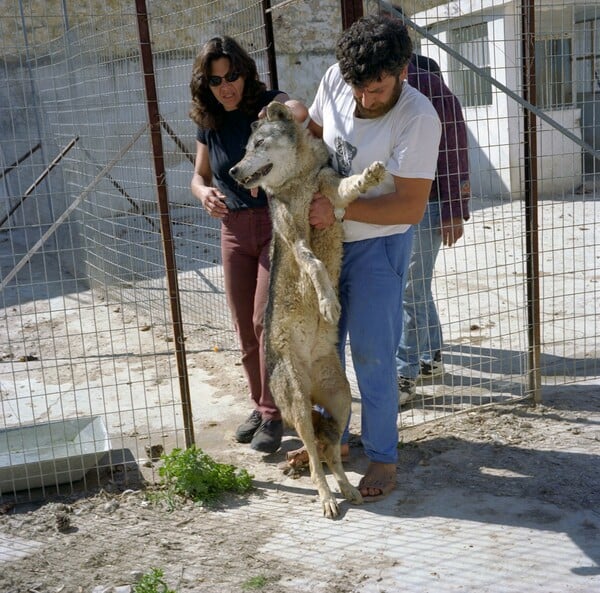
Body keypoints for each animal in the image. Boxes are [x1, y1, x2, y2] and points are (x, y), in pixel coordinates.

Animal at [227, 103, 386, 520]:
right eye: (245, 149)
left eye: (257, 145)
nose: (232, 171)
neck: (298, 181)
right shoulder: (294, 237)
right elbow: (314, 266)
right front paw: (329, 303)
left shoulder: (332, 196)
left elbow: (349, 186)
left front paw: (370, 175)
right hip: (299, 406)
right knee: (314, 456)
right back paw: (327, 498)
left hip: (343, 401)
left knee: (330, 451)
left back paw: (348, 489)